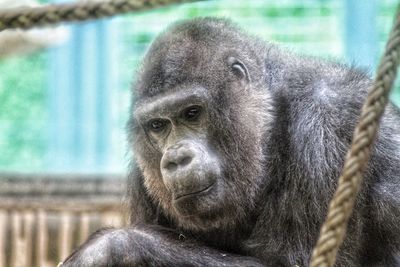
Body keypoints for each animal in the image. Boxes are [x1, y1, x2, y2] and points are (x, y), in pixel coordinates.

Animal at [61, 17, 400, 266]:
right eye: (157, 126)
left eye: (192, 113)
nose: (176, 159)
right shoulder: (142, 174)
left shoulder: (325, 125)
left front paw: (112, 248)